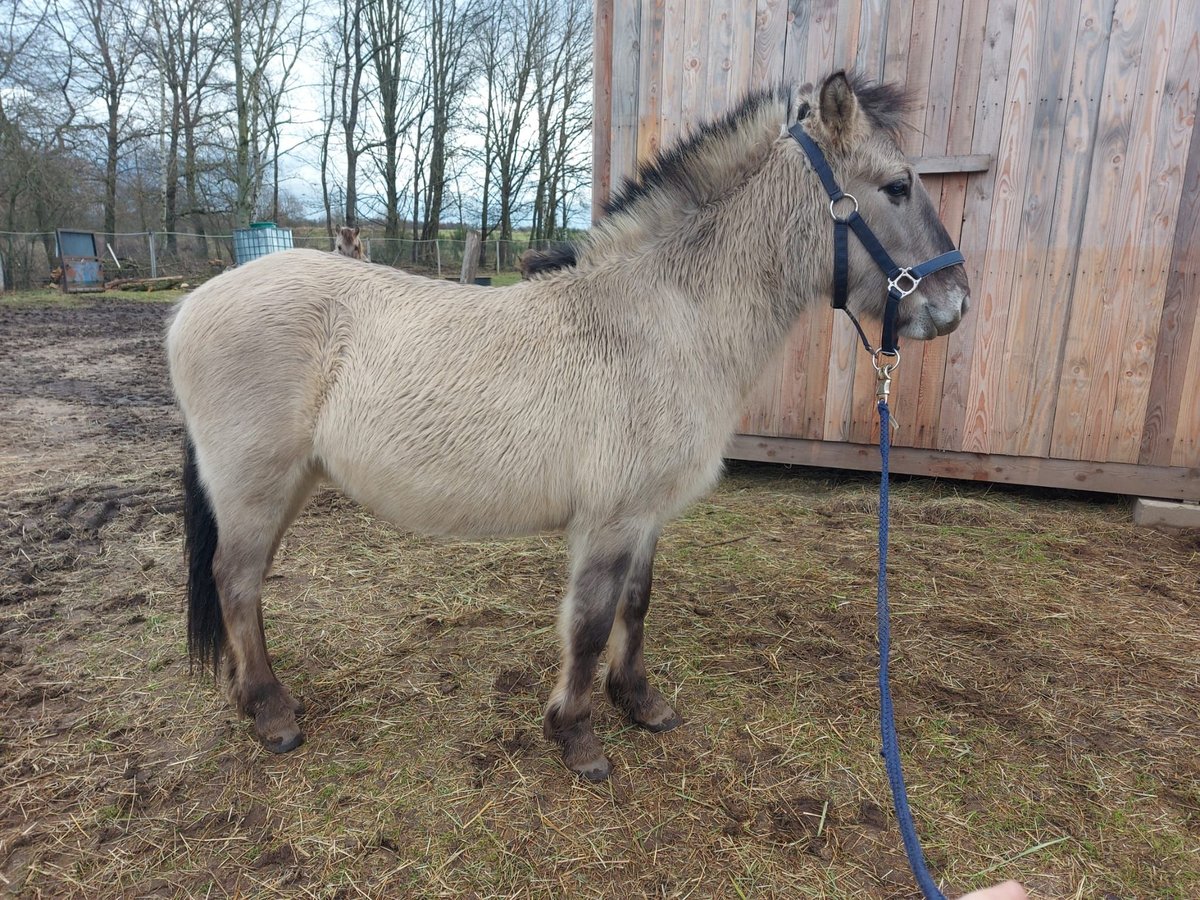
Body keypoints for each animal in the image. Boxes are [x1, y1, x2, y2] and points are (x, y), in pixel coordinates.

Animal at [166, 72, 964, 782]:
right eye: (898, 186)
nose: (955, 304)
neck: (664, 318)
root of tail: (193, 305)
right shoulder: (608, 521)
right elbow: (589, 622)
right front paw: (577, 737)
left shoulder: (645, 515)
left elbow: (637, 605)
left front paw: (638, 702)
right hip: (256, 485)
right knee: (236, 580)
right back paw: (272, 713)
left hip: (287, 485)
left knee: (244, 584)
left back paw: (248, 697)